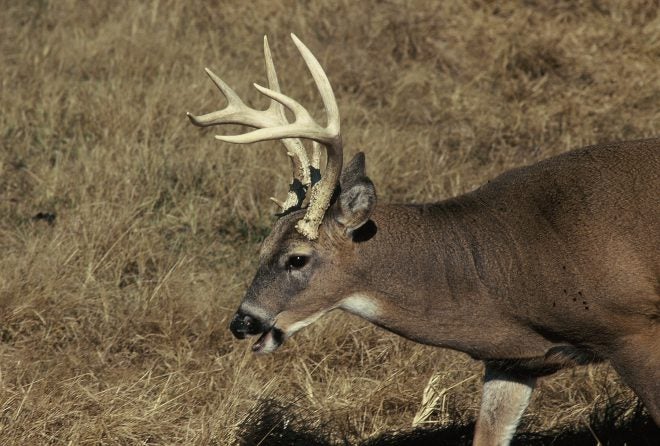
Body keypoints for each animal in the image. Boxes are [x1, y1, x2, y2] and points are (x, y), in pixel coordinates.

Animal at [187, 34, 660, 446]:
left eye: (298, 258)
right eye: (261, 248)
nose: (242, 321)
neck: (501, 266)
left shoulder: (633, 328)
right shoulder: (513, 359)